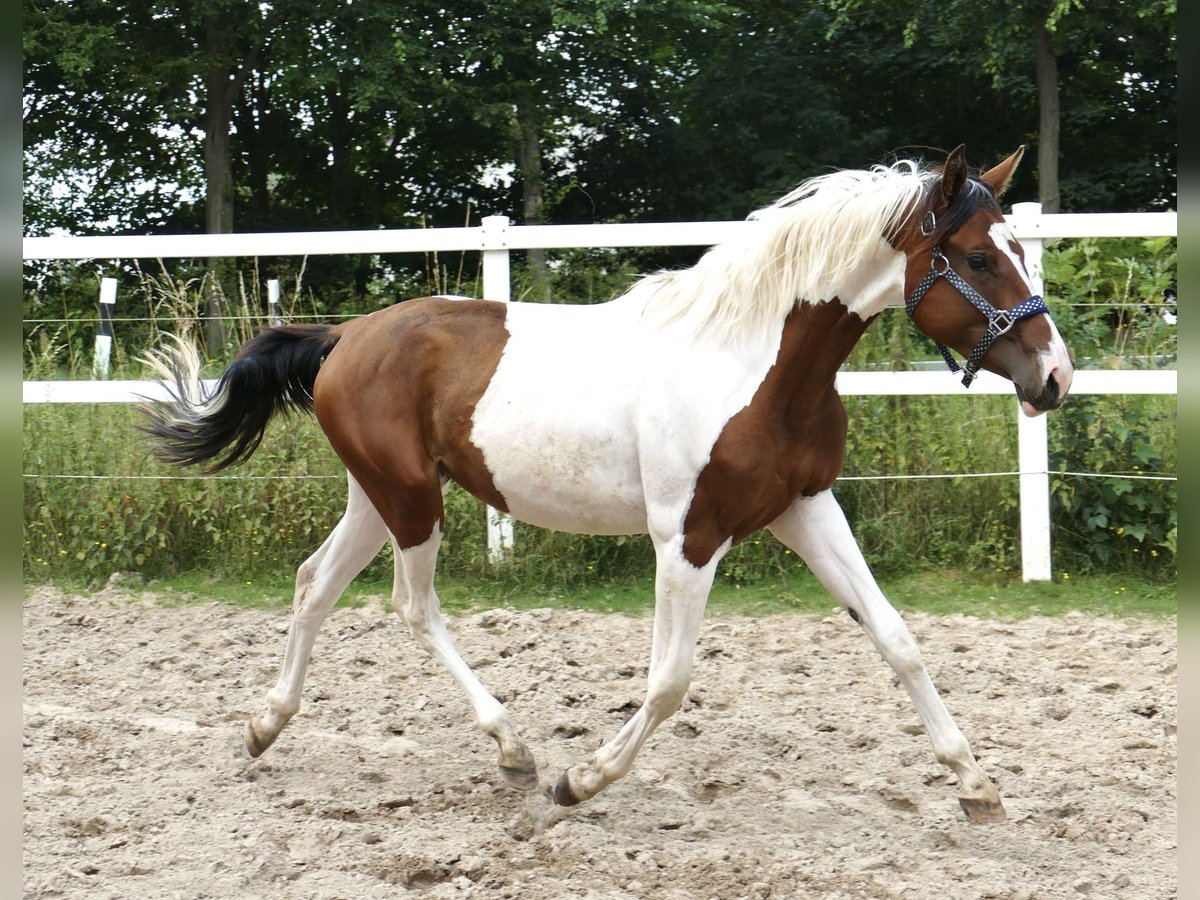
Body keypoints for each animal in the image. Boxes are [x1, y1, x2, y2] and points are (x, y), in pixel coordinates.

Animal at [142, 146, 1080, 825]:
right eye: (976, 259)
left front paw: (978, 786)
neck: (752, 364)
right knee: (412, 604)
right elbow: (669, 682)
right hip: (411, 499)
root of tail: (344, 336)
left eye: (1017, 251)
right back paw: (514, 749)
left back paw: (265, 727)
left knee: (314, 582)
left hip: (378, 495)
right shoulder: (688, 536)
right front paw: (579, 784)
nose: (1055, 378)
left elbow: (897, 639)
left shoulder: (806, 510)